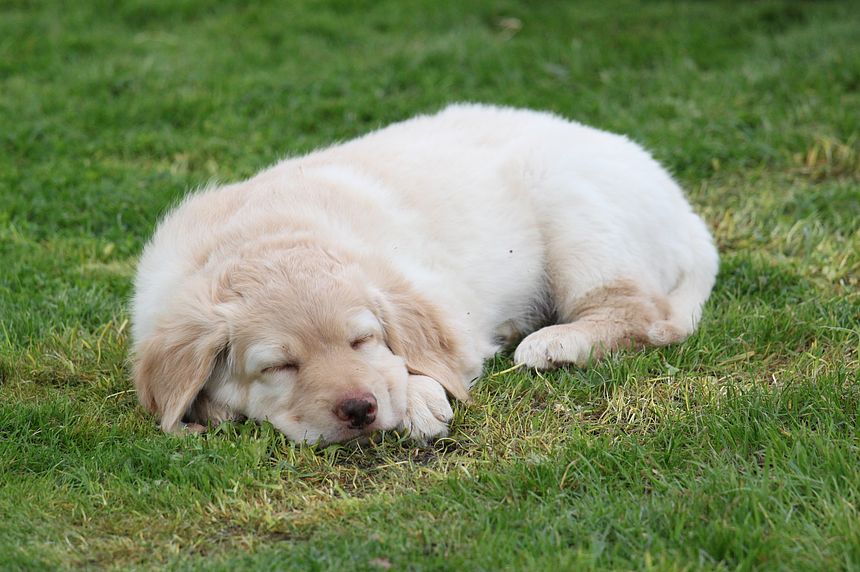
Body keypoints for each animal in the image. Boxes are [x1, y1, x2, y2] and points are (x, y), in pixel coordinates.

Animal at [131, 104, 718, 444]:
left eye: (363, 340)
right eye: (279, 367)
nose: (359, 410)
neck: (263, 235)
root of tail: (682, 206)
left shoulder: (444, 306)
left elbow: (424, 357)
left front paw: (415, 398)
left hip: (575, 214)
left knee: (645, 315)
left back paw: (555, 343)